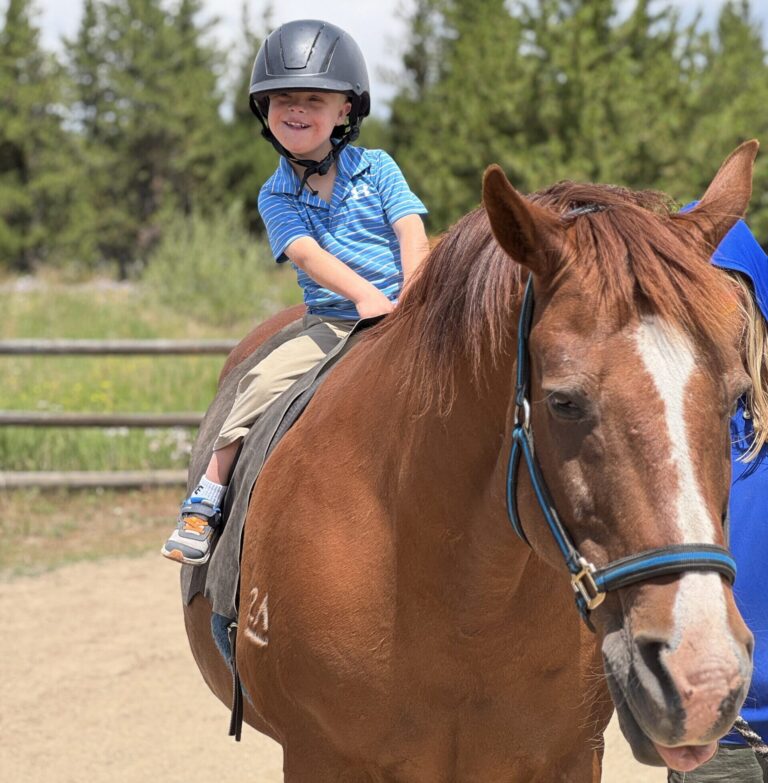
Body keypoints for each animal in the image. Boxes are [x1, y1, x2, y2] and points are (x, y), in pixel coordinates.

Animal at [182, 140, 758, 781]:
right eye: (564, 402)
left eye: (737, 395)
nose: (704, 676)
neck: (461, 600)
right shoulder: (317, 758)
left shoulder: (572, 756)